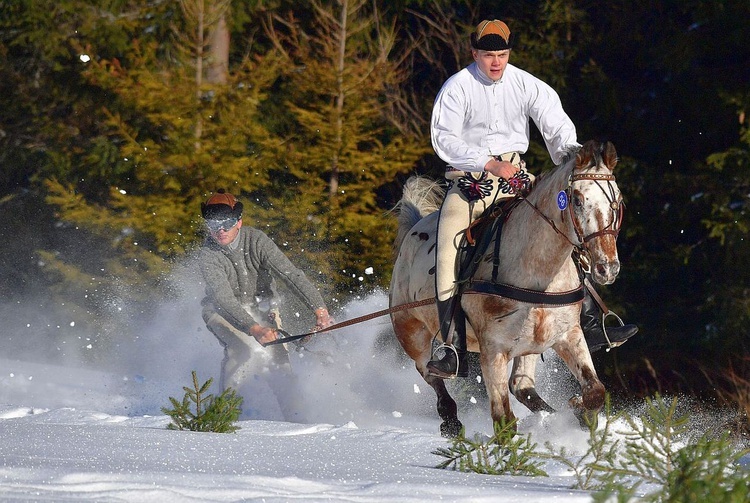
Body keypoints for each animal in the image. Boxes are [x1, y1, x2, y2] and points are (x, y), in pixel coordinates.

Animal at [390, 139, 624, 438]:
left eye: (617, 201)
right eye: (577, 199)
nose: (608, 268)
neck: (537, 272)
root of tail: (414, 227)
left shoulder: (567, 335)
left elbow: (594, 391)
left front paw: (577, 409)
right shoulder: (493, 350)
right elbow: (504, 421)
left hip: (530, 343)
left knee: (521, 386)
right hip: (411, 331)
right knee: (429, 373)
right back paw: (450, 419)